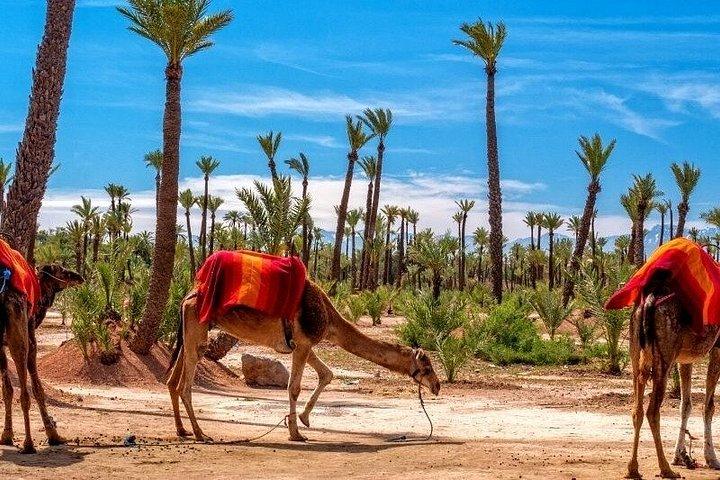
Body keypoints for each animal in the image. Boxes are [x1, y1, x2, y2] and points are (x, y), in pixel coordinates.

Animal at [0, 264, 83, 453]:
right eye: (62, 270)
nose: (79, 276)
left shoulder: (0, 346)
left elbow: (7, 390)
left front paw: (6, 436)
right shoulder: (32, 340)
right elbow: (38, 389)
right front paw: (53, 435)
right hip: (18, 331)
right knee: (24, 393)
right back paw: (29, 444)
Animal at [167, 280, 441, 442]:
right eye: (427, 367)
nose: (437, 386)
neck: (329, 319)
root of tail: (186, 297)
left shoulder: (303, 344)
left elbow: (327, 374)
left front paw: (303, 419)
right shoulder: (304, 341)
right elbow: (294, 387)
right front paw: (295, 433)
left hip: (190, 332)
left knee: (172, 381)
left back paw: (182, 430)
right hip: (197, 331)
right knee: (184, 384)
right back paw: (200, 434)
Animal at [627, 271, 720, 479]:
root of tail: (649, 300)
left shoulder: (684, 358)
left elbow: (685, 405)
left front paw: (680, 455)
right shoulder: (719, 348)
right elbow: (709, 406)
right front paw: (711, 458)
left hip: (636, 353)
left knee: (637, 409)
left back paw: (633, 468)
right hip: (665, 356)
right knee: (652, 411)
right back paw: (665, 469)